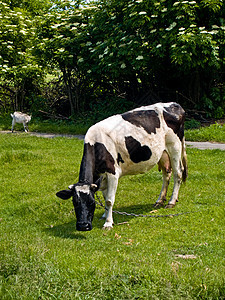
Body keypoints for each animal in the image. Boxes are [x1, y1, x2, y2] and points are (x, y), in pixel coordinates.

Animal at [57, 102, 187, 231]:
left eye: (92, 202)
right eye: (75, 202)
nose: (83, 226)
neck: (97, 143)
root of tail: (175, 105)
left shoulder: (112, 173)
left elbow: (109, 200)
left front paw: (108, 223)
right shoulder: (102, 176)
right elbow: (105, 196)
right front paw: (104, 215)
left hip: (175, 146)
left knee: (178, 173)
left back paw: (171, 202)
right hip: (163, 153)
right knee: (166, 173)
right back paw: (160, 200)